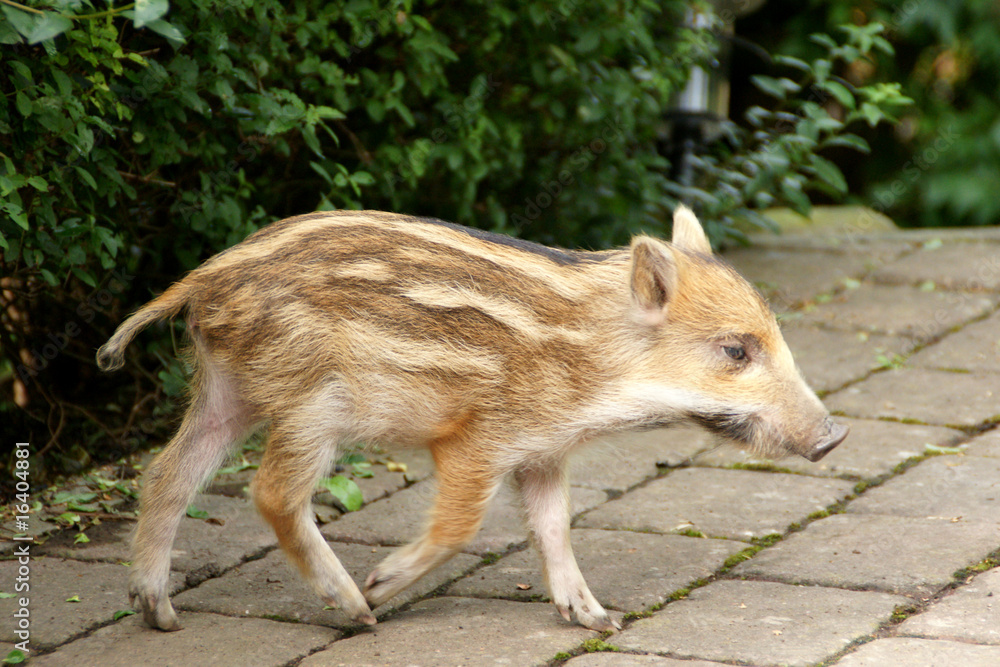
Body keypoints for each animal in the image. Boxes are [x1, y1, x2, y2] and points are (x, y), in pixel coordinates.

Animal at [97, 207, 847, 633]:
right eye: (735, 350)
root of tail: (203, 280)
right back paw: (359, 611)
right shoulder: (476, 439)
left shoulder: (543, 452)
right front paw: (385, 584)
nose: (835, 433)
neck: (589, 365)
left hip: (230, 392)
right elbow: (461, 525)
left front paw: (595, 619)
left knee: (166, 475)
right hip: (313, 403)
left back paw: (159, 614)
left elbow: (554, 525)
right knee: (273, 493)